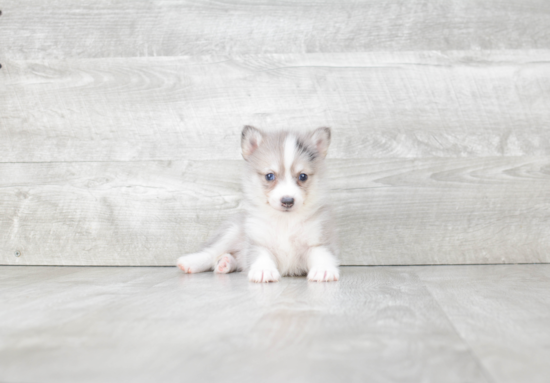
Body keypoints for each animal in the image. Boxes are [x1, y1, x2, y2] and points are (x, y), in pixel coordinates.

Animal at [178, 126, 340, 282]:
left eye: (303, 176)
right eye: (269, 176)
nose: (287, 201)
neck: (285, 221)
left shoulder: (318, 240)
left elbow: (323, 254)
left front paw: (323, 270)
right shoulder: (258, 242)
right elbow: (261, 256)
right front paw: (264, 270)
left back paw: (225, 263)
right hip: (233, 231)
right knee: (211, 252)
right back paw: (191, 262)